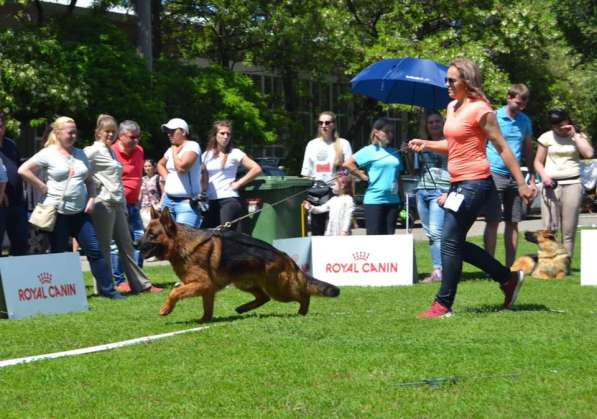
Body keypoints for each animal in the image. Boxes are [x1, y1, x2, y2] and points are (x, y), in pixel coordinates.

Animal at [137, 208, 338, 324]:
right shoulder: (207, 289)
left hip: (279, 289)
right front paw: (204, 320)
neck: (181, 244)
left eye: (151, 235)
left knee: (303, 295)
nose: (135, 243)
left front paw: (166, 309)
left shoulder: (201, 284)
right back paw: (243, 309)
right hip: (245, 283)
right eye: (145, 232)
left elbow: (174, 292)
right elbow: (207, 307)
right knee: (263, 297)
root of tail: (284, 255)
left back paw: (302, 312)